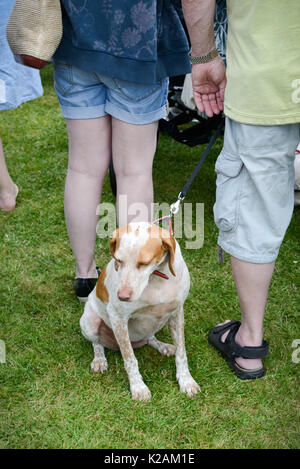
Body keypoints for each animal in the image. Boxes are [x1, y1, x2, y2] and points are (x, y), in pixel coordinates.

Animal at [80, 221, 199, 400]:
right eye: (118, 260)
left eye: (144, 262)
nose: (122, 296)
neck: (157, 278)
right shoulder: (118, 318)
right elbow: (130, 359)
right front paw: (138, 387)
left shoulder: (177, 312)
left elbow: (181, 353)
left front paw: (186, 381)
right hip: (89, 322)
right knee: (97, 343)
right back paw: (99, 359)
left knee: (150, 338)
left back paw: (163, 346)